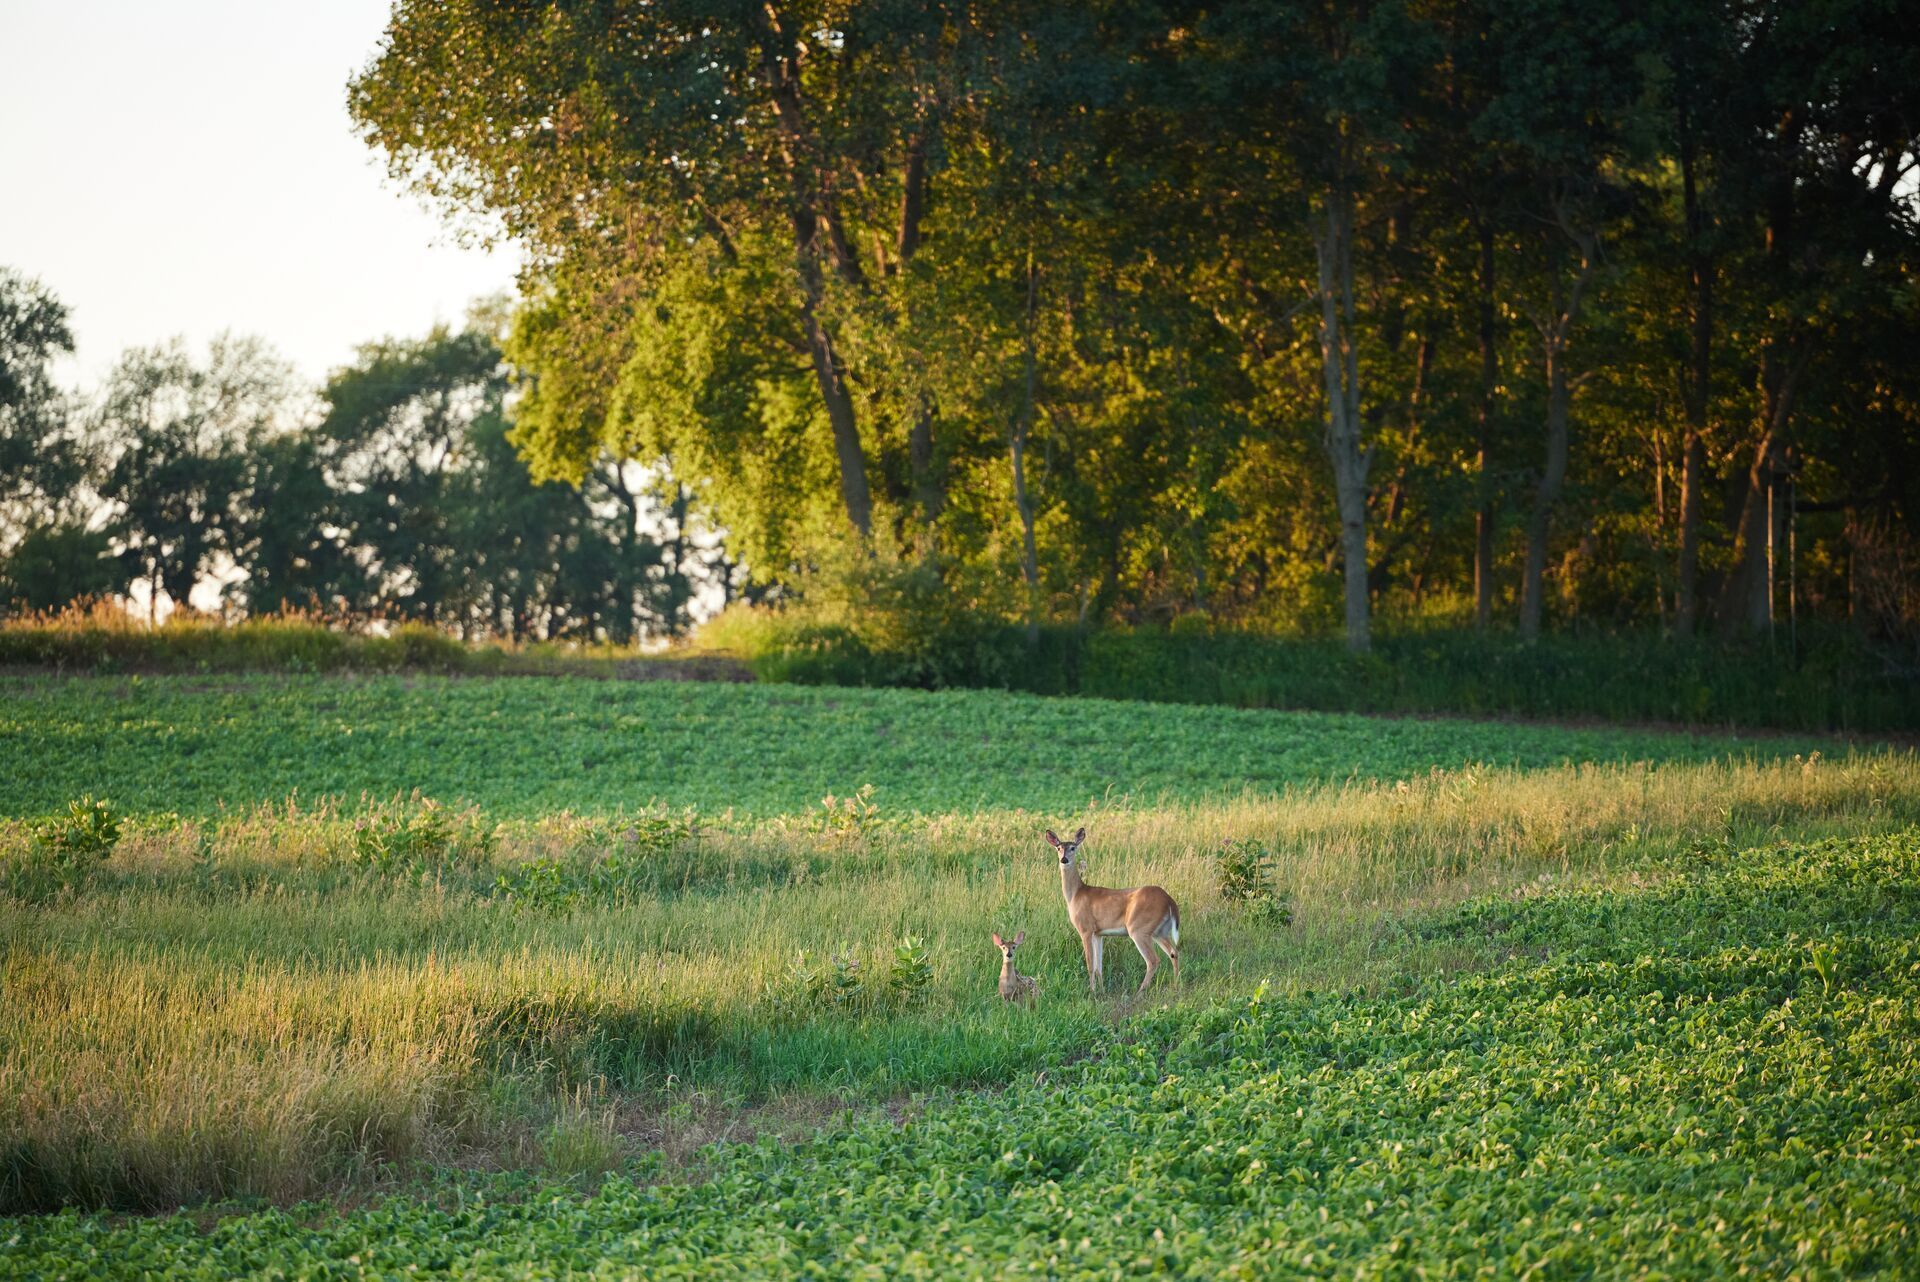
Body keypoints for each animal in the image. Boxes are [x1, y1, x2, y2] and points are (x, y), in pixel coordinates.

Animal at [1046, 827, 1180, 994]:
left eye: (1073, 848)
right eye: (1058, 848)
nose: (1064, 859)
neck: (1075, 895)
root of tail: (1169, 900)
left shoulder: (1085, 928)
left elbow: (1090, 965)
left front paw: (1092, 992)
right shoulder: (1098, 933)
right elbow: (1099, 967)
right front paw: (1102, 991)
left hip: (1139, 928)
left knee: (1153, 960)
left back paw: (1139, 992)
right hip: (1159, 930)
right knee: (1174, 952)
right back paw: (1176, 986)